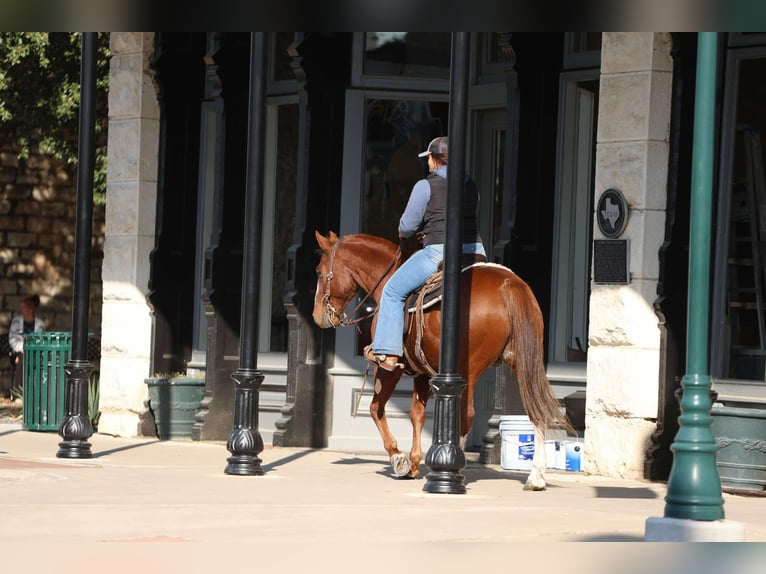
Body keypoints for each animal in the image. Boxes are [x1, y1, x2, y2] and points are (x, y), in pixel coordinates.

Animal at [312, 230, 571, 490]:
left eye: (319, 271)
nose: (316, 315)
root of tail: (509, 284)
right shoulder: (422, 372)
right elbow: (416, 413)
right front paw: (414, 462)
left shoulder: (390, 367)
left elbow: (376, 408)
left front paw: (399, 458)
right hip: (524, 362)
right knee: (535, 409)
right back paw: (535, 477)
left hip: (470, 368)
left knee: (466, 416)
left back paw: (454, 469)